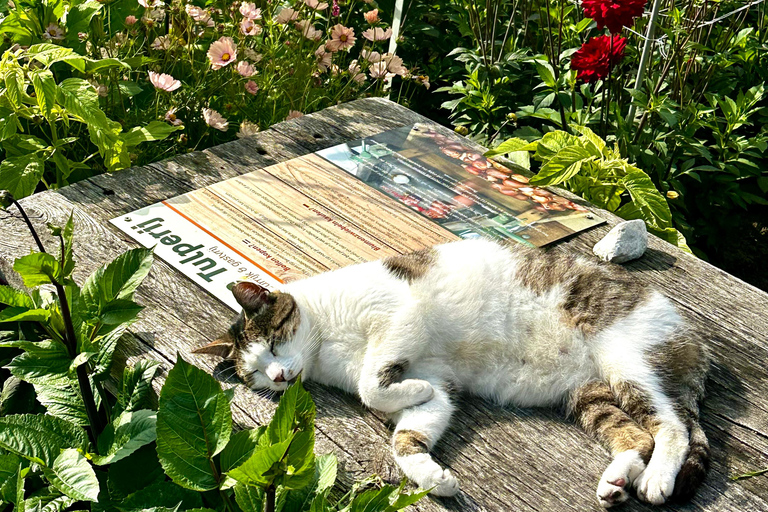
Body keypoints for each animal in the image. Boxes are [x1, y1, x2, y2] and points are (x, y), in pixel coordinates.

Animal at [194, 238, 708, 506]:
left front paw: (400, 389)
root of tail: (691, 331)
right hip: (589, 394)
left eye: (274, 344)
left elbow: (370, 386)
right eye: (257, 375)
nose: (280, 378)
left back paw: (656, 480)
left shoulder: (400, 315)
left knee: (672, 427)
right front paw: (432, 477)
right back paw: (617, 481)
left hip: (628, 362)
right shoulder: (437, 384)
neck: (326, 347)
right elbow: (407, 435)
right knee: (635, 436)